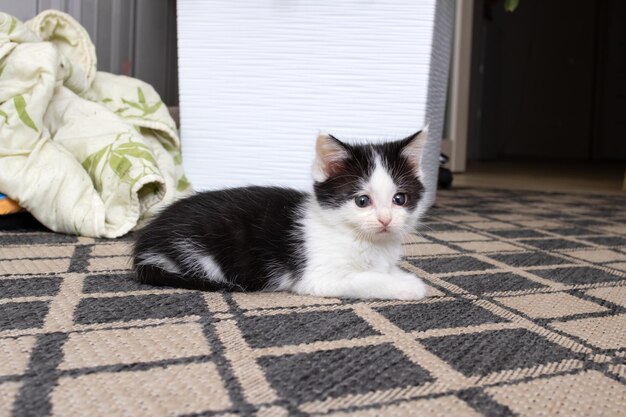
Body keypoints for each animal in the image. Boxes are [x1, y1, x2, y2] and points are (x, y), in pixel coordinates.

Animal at [130, 132, 428, 298]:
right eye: (362, 201)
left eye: (399, 199)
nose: (386, 220)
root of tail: (146, 244)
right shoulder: (316, 277)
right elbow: (366, 279)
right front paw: (410, 286)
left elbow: (385, 270)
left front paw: (401, 276)